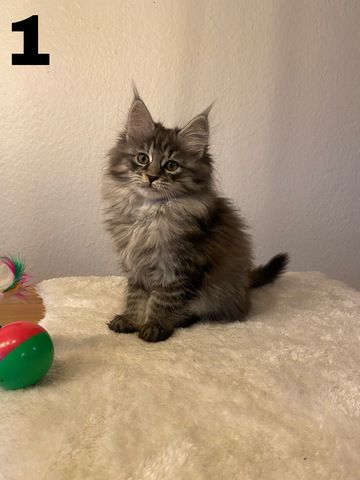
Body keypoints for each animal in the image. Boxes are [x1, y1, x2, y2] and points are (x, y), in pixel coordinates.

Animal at [102, 90, 288, 344]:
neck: (150, 212)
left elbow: (162, 300)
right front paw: (131, 319)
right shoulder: (136, 265)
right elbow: (136, 296)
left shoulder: (178, 266)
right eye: (142, 158)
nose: (151, 177)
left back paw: (182, 320)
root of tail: (245, 285)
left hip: (218, 293)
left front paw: (154, 326)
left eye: (171, 165)